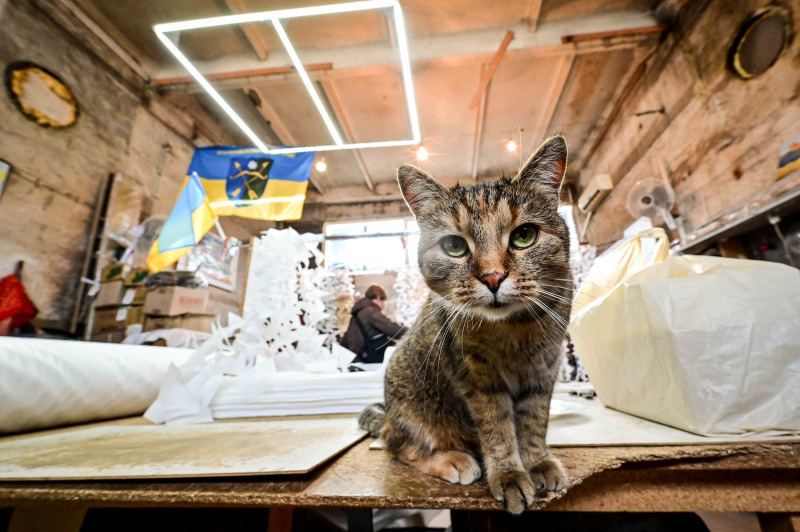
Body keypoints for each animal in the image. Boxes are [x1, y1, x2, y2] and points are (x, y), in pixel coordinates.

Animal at [362, 135, 576, 512]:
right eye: (454, 246)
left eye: (524, 235)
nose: (492, 277)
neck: (512, 330)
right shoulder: (478, 380)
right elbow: (498, 430)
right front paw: (509, 474)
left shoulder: (544, 371)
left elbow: (535, 422)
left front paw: (537, 461)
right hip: (410, 399)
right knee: (397, 445)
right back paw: (452, 459)